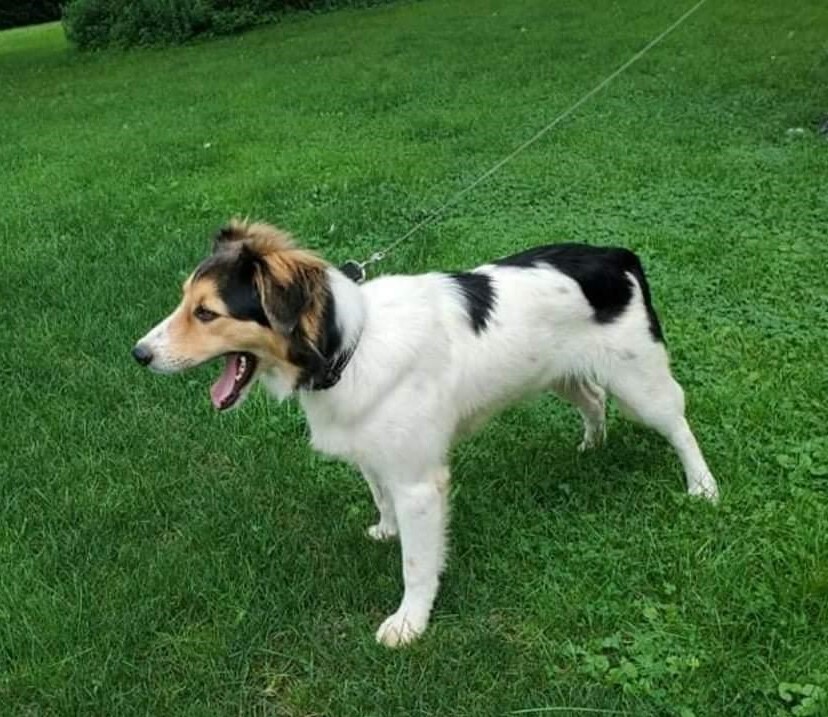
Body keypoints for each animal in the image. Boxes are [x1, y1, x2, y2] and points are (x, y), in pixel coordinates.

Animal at [134, 220, 720, 648]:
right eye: (185, 302)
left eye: (206, 312)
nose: (138, 354)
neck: (350, 345)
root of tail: (616, 254)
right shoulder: (375, 454)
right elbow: (381, 500)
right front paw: (385, 530)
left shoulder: (420, 483)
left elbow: (417, 563)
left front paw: (409, 622)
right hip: (561, 375)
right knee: (594, 402)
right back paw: (590, 448)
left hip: (641, 382)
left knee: (679, 424)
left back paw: (703, 487)